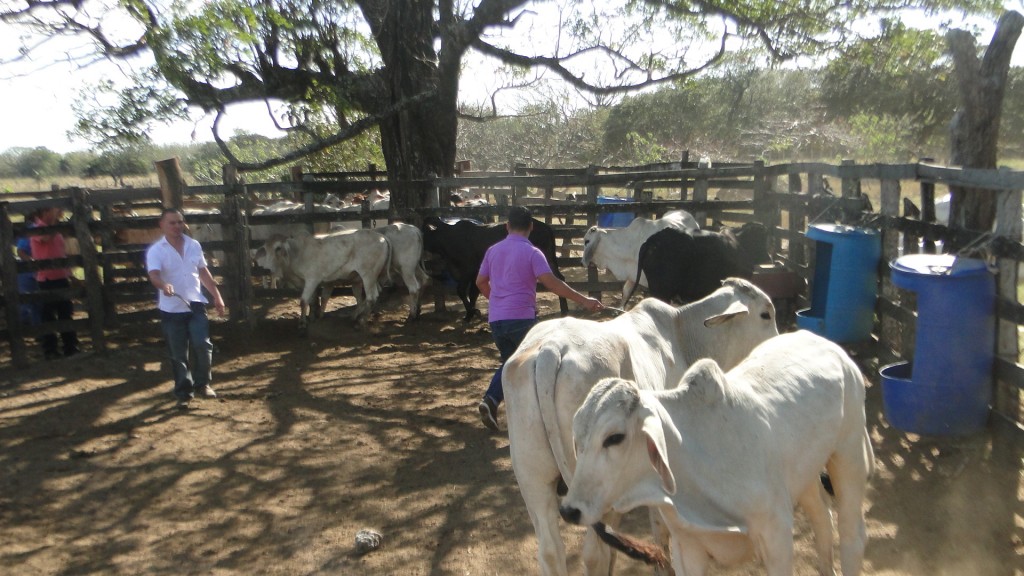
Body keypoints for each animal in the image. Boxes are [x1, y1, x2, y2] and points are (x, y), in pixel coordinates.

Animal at [249, 227, 389, 327]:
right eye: (265, 249)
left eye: (278, 248)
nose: (267, 269)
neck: (297, 253)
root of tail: (382, 237)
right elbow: (311, 301)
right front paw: (312, 317)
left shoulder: (312, 279)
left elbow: (303, 300)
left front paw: (302, 323)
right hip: (365, 278)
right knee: (367, 297)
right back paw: (355, 316)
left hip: (368, 275)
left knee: (371, 297)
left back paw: (361, 321)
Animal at [419, 215, 573, 319]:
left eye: (424, 232)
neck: (449, 237)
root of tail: (546, 227)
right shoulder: (476, 272)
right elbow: (473, 292)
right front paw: (472, 313)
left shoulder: (468, 270)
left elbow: (462, 290)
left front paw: (471, 313)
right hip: (549, 260)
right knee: (559, 279)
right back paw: (564, 309)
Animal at [561, 327, 872, 573]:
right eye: (577, 439)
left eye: (614, 437)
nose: (569, 510)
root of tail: (832, 348)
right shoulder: (686, 547)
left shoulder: (777, 536)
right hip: (806, 474)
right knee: (822, 518)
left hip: (849, 454)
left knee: (852, 535)